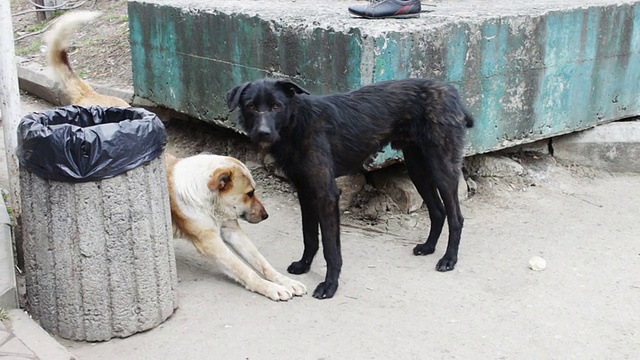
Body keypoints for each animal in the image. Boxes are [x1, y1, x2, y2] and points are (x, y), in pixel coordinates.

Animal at [164, 153, 306, 300]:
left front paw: (286, 281)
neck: (210, 200)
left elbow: (263, 263)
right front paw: (271, 287)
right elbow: (245, 270)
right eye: (250, 193)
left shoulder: (232, 231)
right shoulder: (210, 243)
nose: (266, 216)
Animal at [228, 78, 472, 298]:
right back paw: (428, 247)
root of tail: (452, 92)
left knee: (456, 217)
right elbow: (309, 236)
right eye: (251, 106)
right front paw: (304, 265)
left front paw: (330, 285)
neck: (296, 125)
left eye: (276, 106)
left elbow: (330, 247)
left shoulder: (327, 194)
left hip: (441, 168)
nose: (263, 133)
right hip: (417, 169)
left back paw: (449, 259)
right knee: (438, 211)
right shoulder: (305, 191)